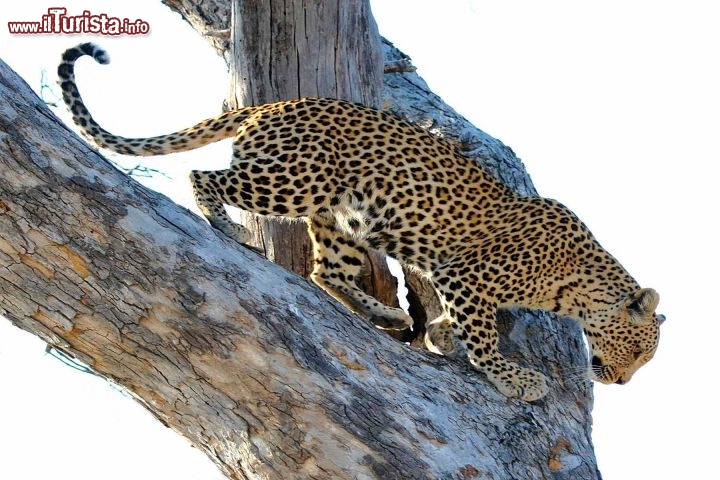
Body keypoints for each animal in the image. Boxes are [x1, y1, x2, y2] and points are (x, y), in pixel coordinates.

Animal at [56, 43, 664, 402]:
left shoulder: (453, 278)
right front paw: (515, 378)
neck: (577, 289)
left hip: (341, 218)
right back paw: (225, 227)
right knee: (203, 176)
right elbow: (485, 336)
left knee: (326, 272)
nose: (619, 381)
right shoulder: (466, 277)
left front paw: (440, 333)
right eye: (638, 352)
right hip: (295, 181)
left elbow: (459, 322)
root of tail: (272, 105)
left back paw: (387, 315)